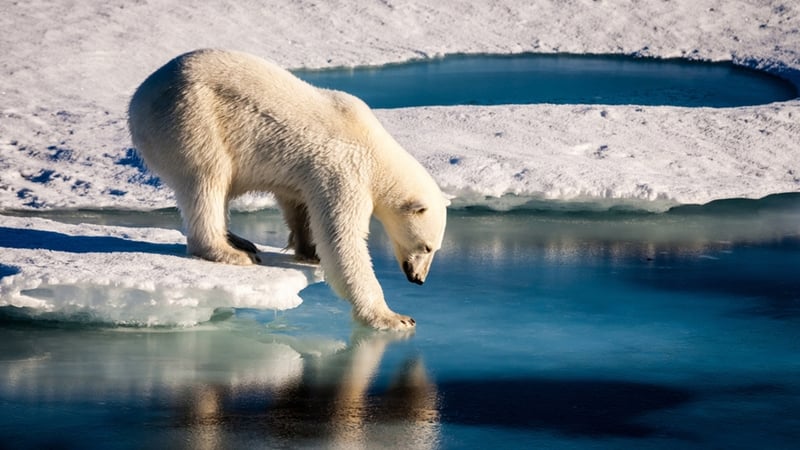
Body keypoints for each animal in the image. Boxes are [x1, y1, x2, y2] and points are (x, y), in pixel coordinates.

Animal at [128, 49, 449, 331]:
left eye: (434, 248)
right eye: (426, 247)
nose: (419, 279)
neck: (375, 149)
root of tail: (139, 98)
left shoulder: (308, 174)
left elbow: (298, 204)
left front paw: (309, 251)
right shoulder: (345, 171)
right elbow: (343, 239)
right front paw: (394, 317)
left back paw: (239, 240)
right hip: (192, 119)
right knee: (207, 179)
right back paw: (231, 252)